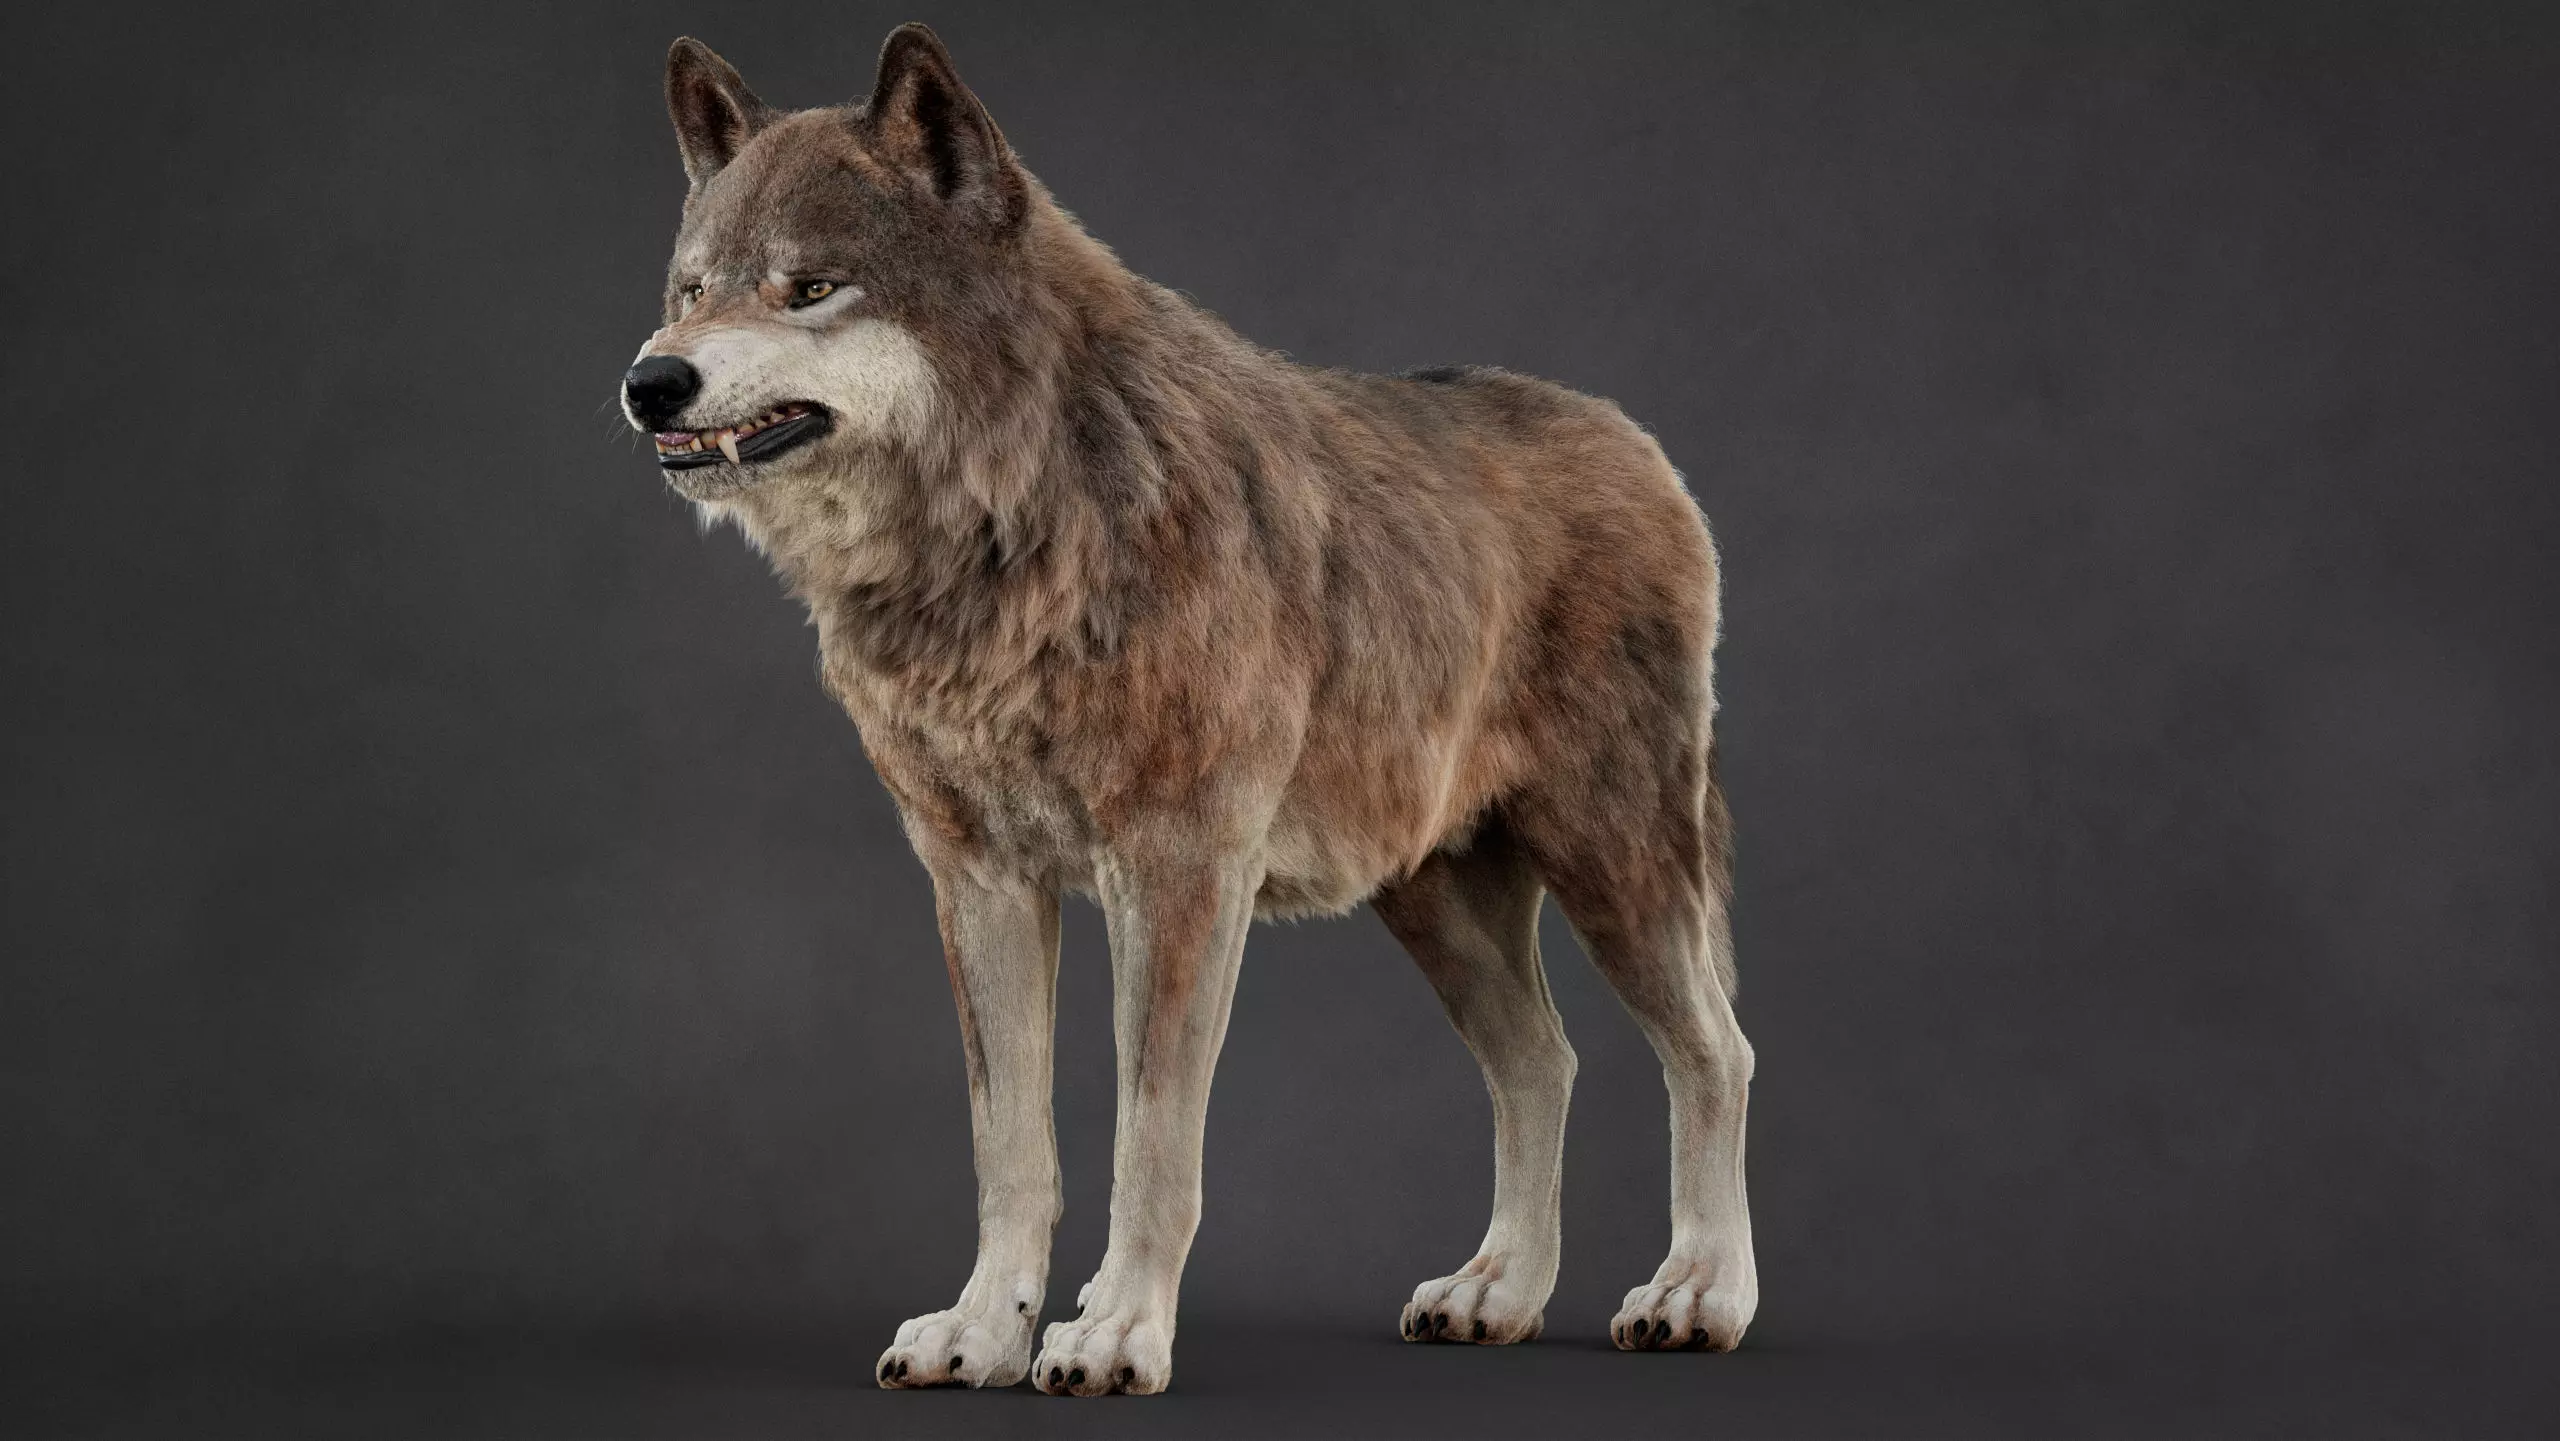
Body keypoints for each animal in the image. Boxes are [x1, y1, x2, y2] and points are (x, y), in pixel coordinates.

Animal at [619, 23, 1758, 1395]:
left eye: (810, 289)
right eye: (691, 290)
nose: (650, 381)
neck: (1018, 529)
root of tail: (1643, 447)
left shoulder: (1174, 877)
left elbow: (1151, 1140)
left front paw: (1114, 1331)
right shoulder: (979, 881)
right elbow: (1012, 1147)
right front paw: (979, 1333)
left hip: (1615, 864)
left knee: (1714, 1053)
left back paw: (1698, 1294)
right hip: (1432, 899)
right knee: (1544, 1061)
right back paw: (1496, 1293)